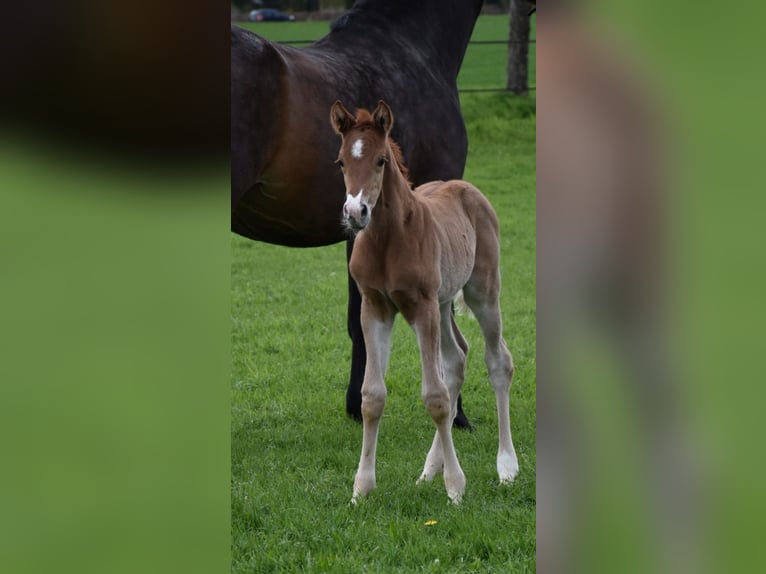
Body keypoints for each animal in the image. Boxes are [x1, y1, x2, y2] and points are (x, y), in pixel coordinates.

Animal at [332, 102, 520, 504]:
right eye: (341, 161)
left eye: (381, 160)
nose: (355, 213)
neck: (388, 240)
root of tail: (466, 187)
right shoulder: (375, 308)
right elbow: (372, 397)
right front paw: (361, 489)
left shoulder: (421, 307)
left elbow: (434, 396)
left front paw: (456, 487)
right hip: (444, 302)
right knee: (457, 359)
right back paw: (429, 470)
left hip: (481, 292)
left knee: (498, 361)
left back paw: (506, 466)